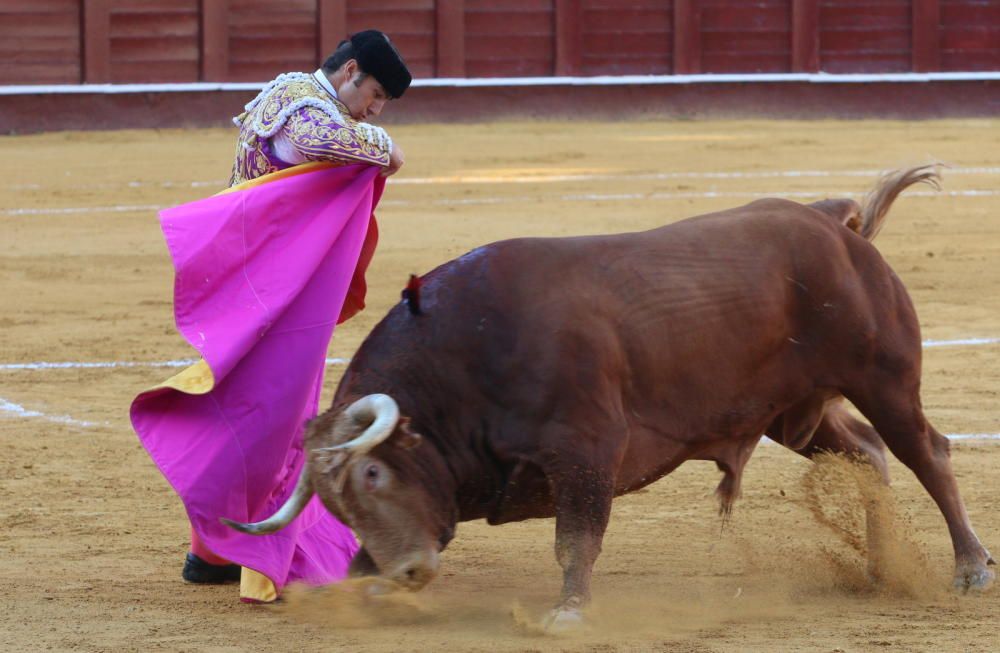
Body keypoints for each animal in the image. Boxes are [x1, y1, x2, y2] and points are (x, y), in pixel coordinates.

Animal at [223, 166, 996, 624]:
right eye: (336, 504)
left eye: (375, 473)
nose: (411, 572)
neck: (468, 355)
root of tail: (833, 221)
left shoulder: (585, 451)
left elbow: (577, 538)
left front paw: (567, 614)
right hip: (792, 412)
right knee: (867, 454)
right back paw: (880, 569)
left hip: (884, 376)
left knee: (926, 451)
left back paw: (969, 568)